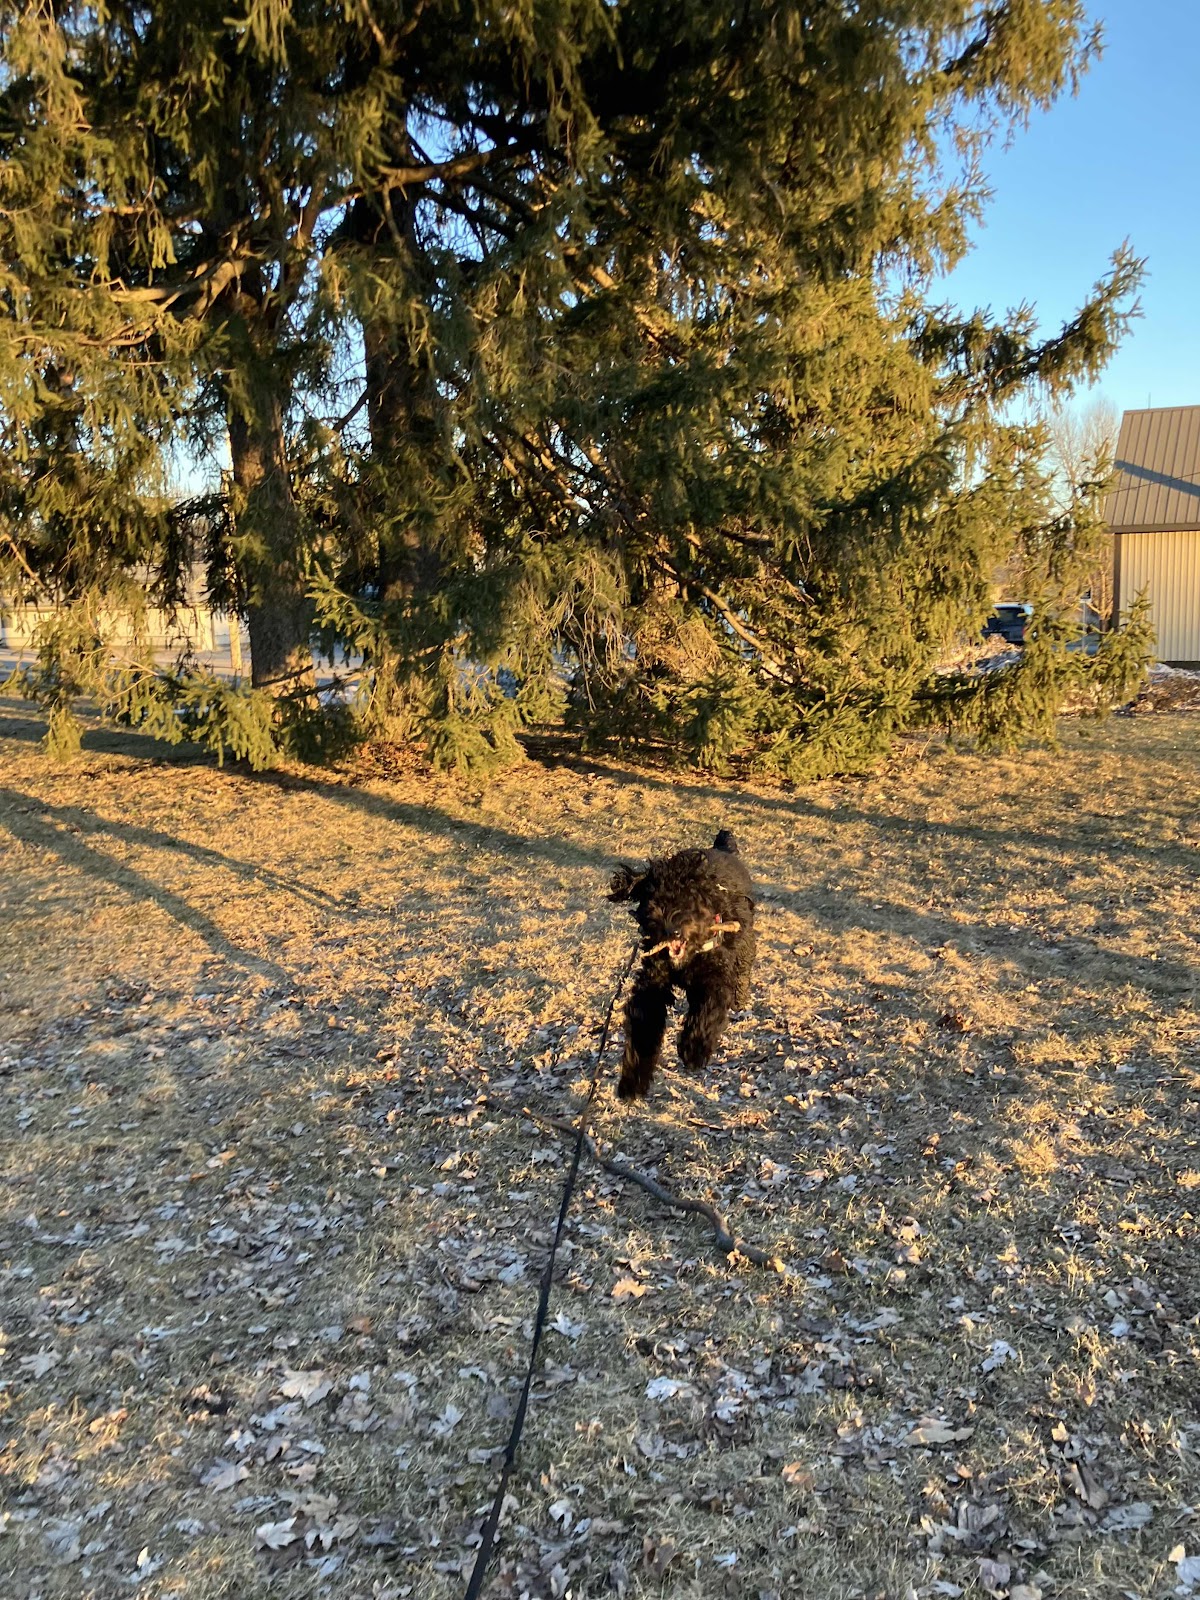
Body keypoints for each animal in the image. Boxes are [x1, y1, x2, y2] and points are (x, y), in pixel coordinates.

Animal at [607, 829, 756, 1100]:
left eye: (690, 901)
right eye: (654, 900)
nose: (671, 930)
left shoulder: (715, 975)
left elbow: (709, 1009)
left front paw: (694, 1049)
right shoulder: (651, 987)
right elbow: (644, 1029)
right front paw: (632, 1082)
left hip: (745, 940)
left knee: (743, 968)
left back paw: (739, 997)